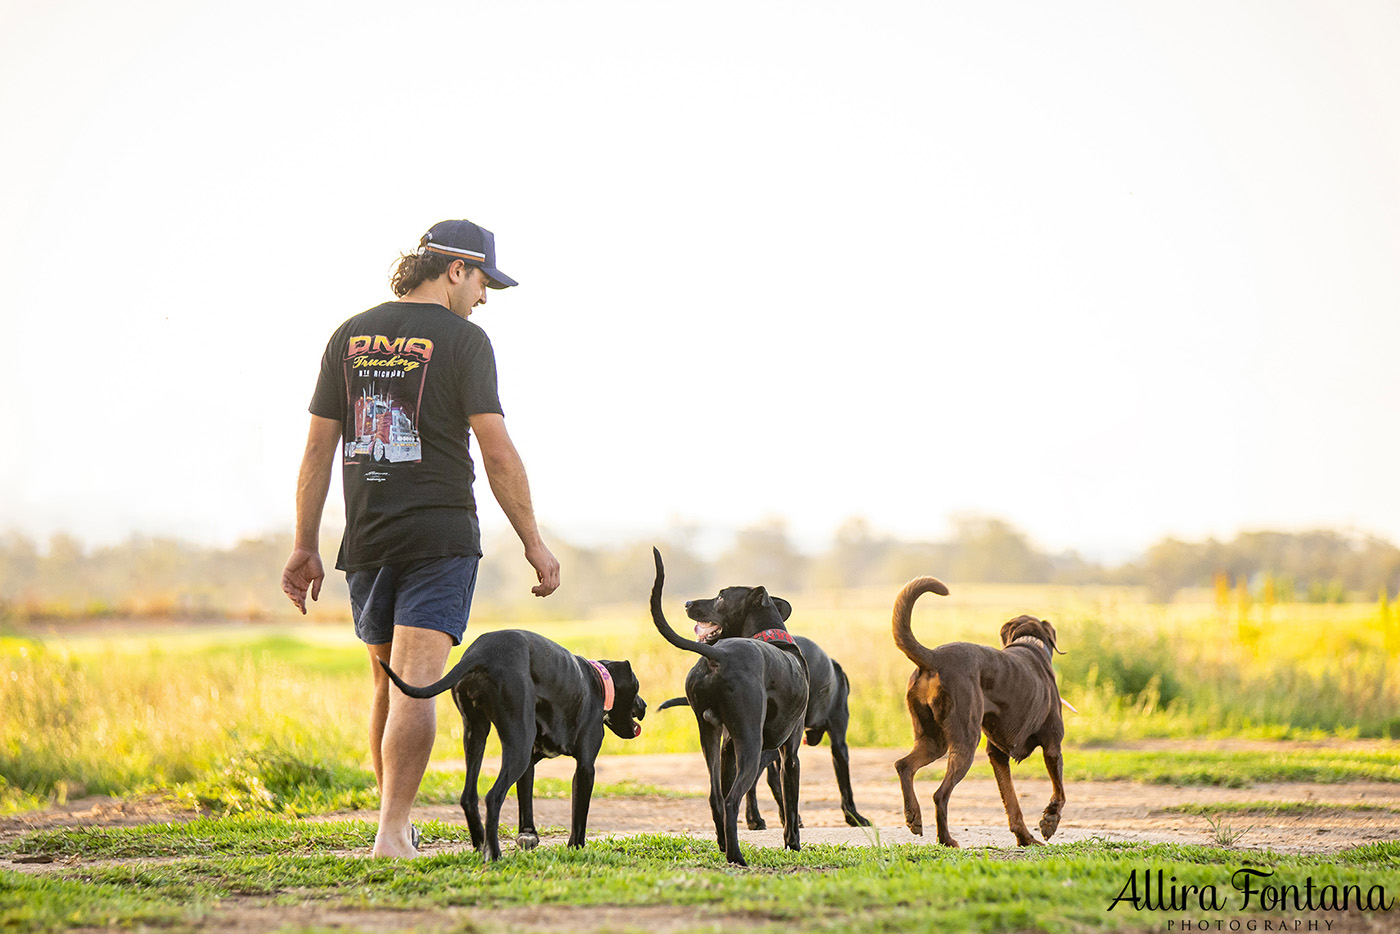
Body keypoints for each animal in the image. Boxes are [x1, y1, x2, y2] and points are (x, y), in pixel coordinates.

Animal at [383, 627, 644, 862]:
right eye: (637, 688)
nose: (645, 705)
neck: (598, 680)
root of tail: (479, 653)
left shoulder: (529, 763)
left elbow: (525, 801)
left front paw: (528, 835)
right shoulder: (585, 768)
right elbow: (579, 816)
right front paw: (576, 848)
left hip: (476, 734)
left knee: (468, 796)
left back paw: (480, 846)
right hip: (518, 741)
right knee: (492, 796)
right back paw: (494, 854)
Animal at [646, 548, 812, 868]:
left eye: (722, 597)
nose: (687, 603)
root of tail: (718, 655)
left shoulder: (727, 748)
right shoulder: (790, 755)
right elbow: (790, 807)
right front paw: (793, 845)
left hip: (709, 736)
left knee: (717, 798)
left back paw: (725, 846)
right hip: (751, 745)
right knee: (732, 799)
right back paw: (737, 855)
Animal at [890, 576, 1064, 845]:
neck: (1028, 643)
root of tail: (934, 657)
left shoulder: (997, 754)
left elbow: (1012, 802)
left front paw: (1025, 838)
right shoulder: (1053, 746)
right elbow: (1060, 792)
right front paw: (1049, 821)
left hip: (933, 740)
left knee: (904, 765)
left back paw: (913, 816)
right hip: (965, 740)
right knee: (940, 794)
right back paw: (947, 840)